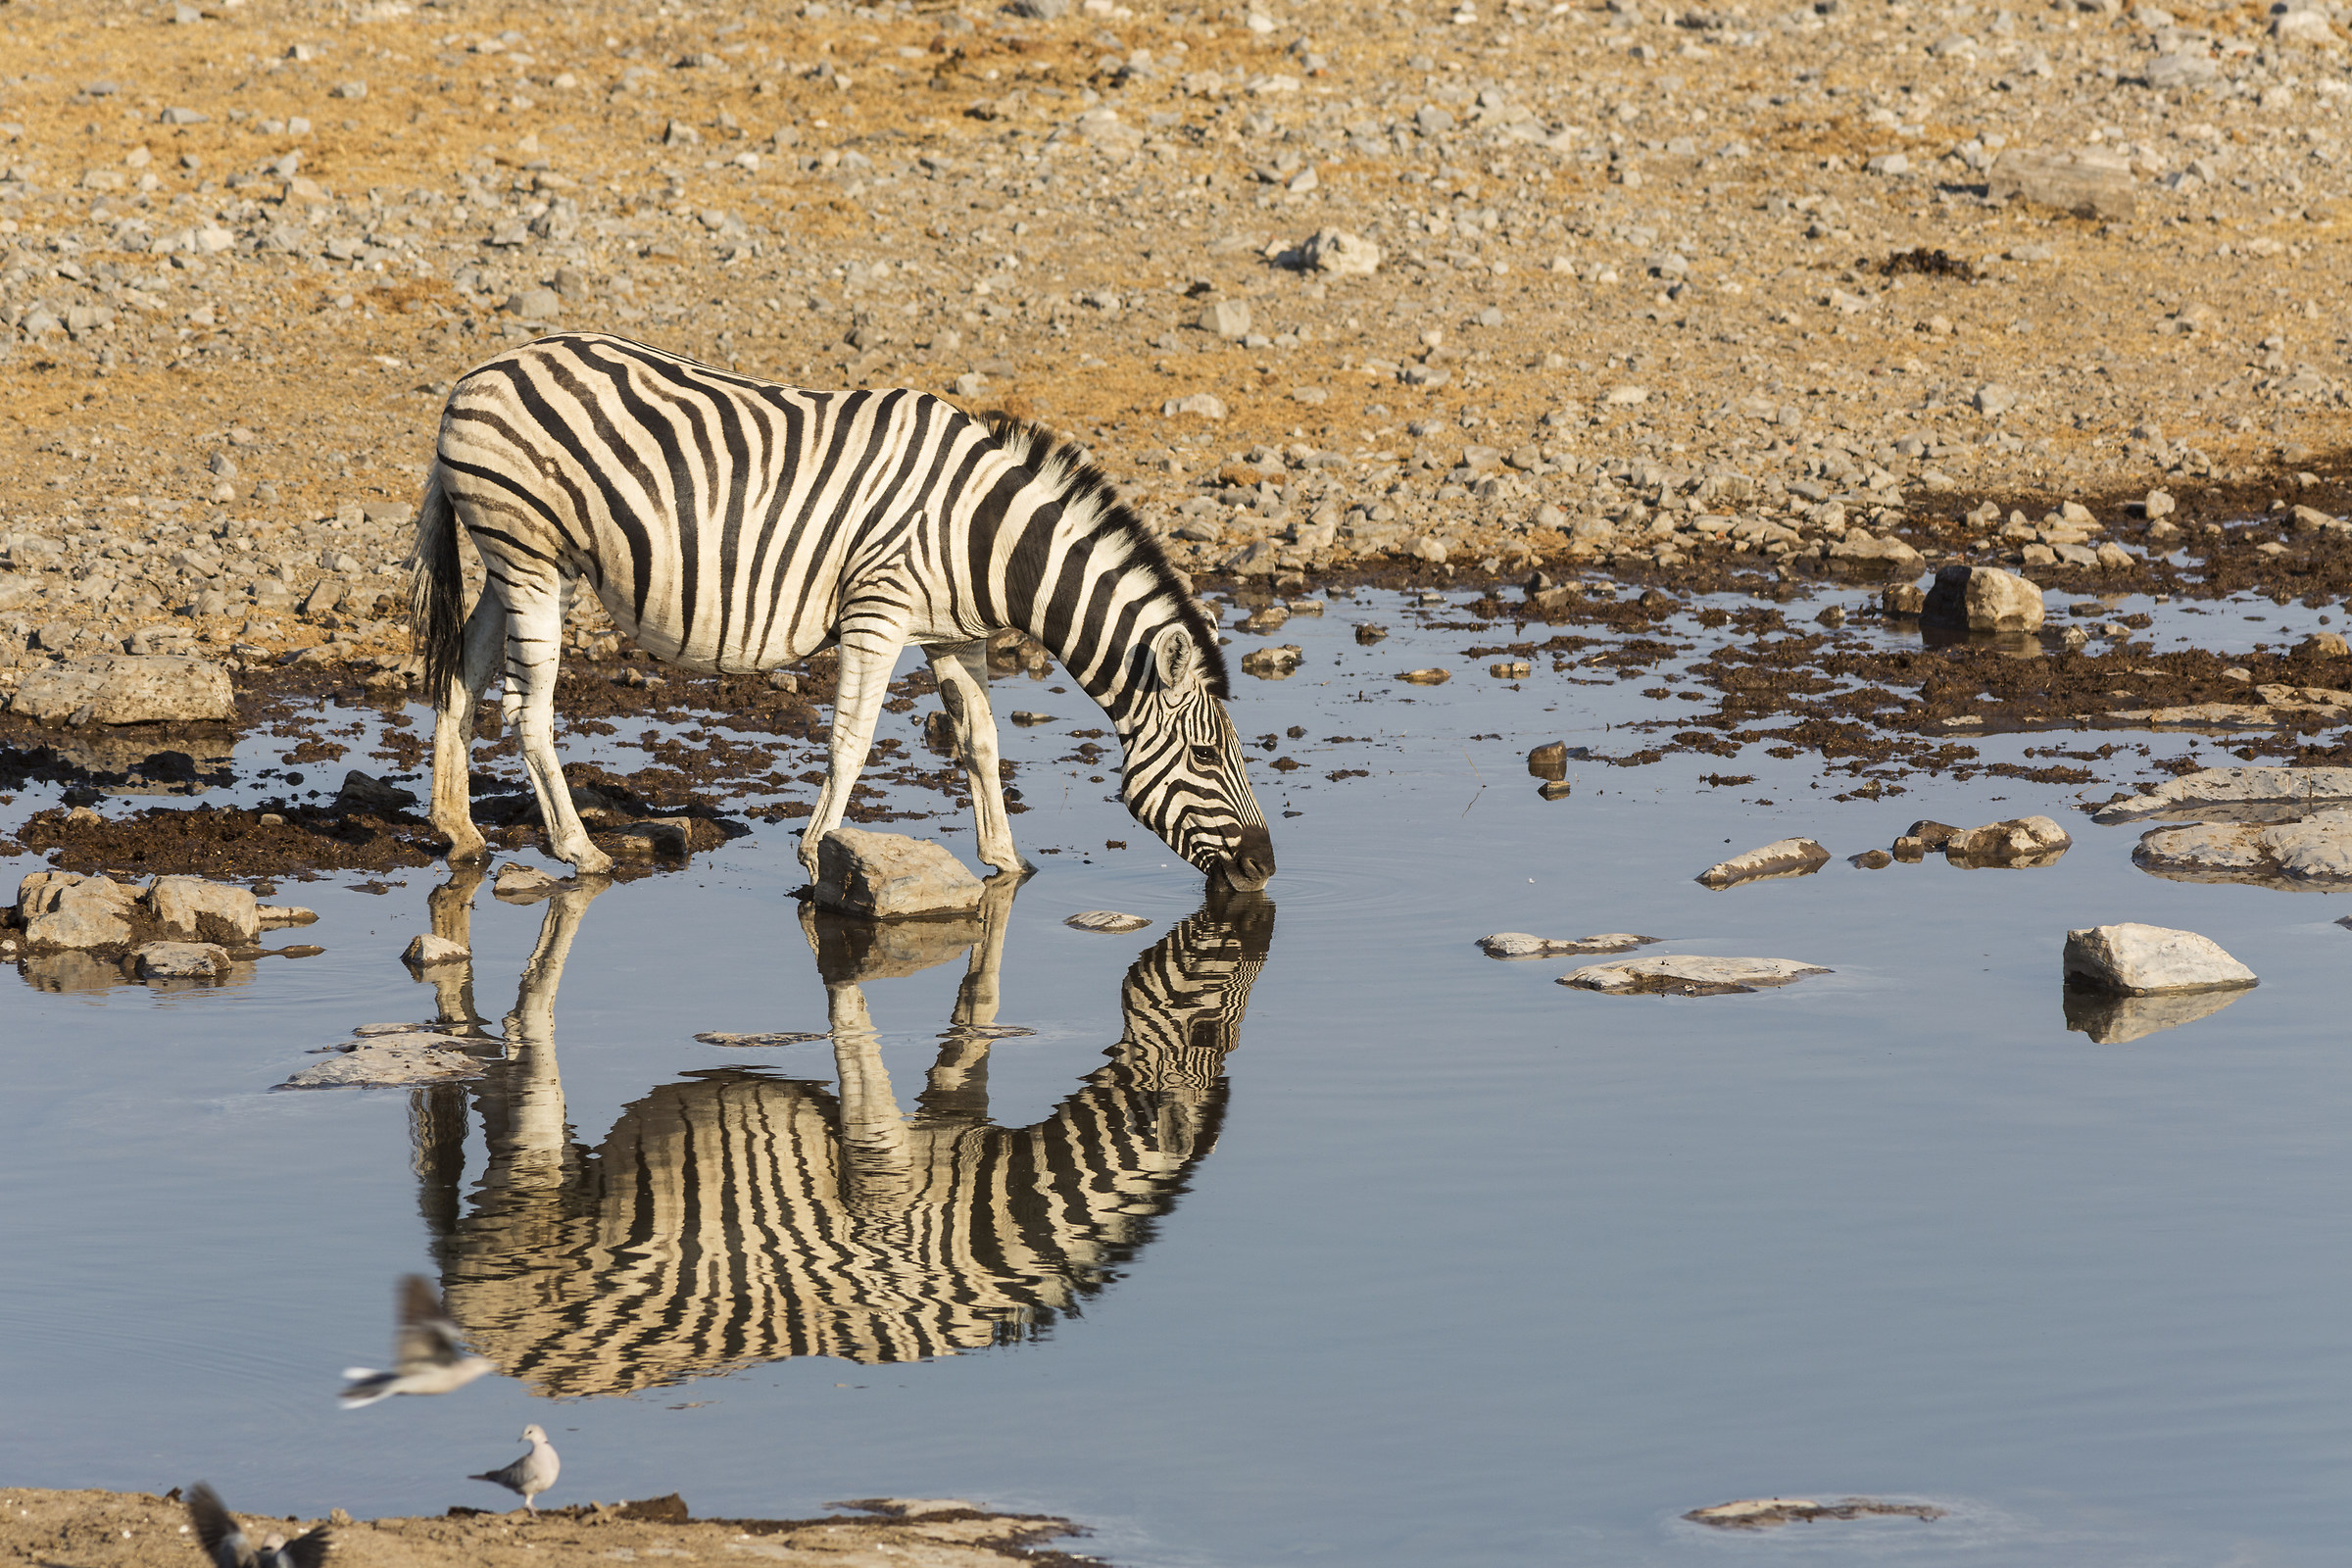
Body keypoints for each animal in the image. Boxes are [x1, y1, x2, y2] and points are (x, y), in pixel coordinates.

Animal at [409, 331, 1274, 890]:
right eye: (1206, 758)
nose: (1265, 868)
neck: (986, 538)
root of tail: (472, 378)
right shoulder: (877, 613)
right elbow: (850, 742)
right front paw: (817, 850)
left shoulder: (955, 637)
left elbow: (982, 742)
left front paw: (1006, 860)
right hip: (531, 554)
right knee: (526, 707)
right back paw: (578, 850)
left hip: (514, 561)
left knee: (463, 677)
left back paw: (459, 829)